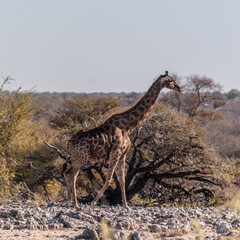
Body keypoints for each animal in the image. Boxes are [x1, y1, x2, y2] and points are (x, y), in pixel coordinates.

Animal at [63, 71, 182, 210]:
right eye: (171, 80)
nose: (180, 88)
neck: (128, 126)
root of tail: (69, 143)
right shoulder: (115, 153)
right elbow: (109, 179)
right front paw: (93, 202)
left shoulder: (123, 154)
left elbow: (122, 180)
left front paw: (126, 206)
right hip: (81, 158)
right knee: (68, 174)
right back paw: (72, 203)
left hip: (78, 158)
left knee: (73, 175)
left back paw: (75, 204)